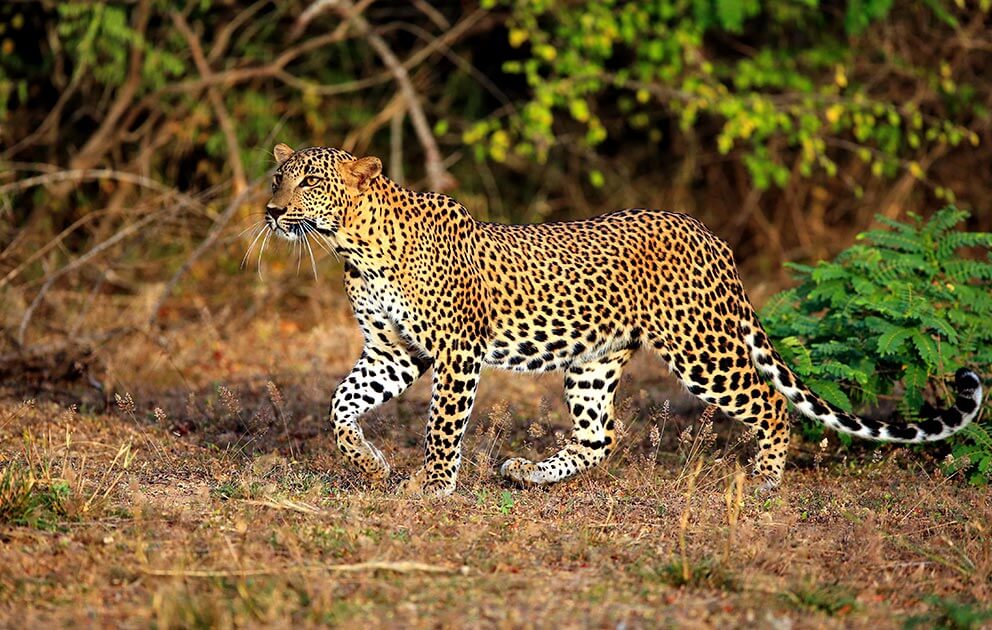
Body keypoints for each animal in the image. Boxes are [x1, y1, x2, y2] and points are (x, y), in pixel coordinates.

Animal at [262, 144, 984, 498]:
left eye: (310, 182)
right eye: (277, 177)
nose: (270, 210)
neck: (352, 245)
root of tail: (709, 235)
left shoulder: (456, 351)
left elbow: (442, 427)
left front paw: (430, 486)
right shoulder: (393, 351)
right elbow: (340, 405)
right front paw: (369, 465)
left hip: (702, 348)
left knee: (771, 404)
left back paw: (766, 480)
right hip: (593, 358)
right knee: (600, 436)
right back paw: (528, 474)